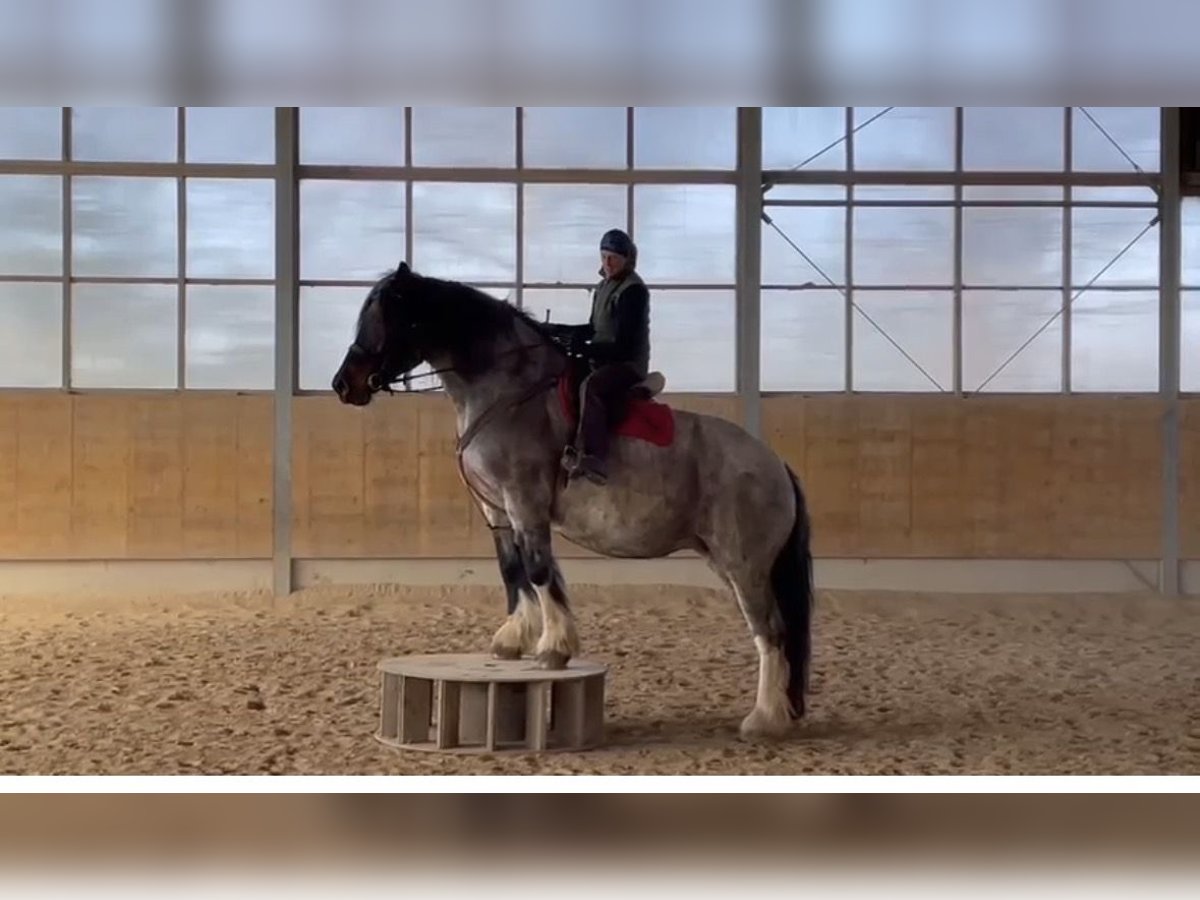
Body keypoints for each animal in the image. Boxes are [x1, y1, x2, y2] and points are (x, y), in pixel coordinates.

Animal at [331, 261, 814, 740]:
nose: (343, 385)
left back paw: (764, 718)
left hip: (744, 564)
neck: (507, 393)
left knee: (771, 632)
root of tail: (775, 464)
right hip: (726, 562)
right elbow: (512, 570)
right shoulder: (498, 510)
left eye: (386, 316)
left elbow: (539, 570)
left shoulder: (523, 501)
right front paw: (514, 639)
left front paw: (554, 648)